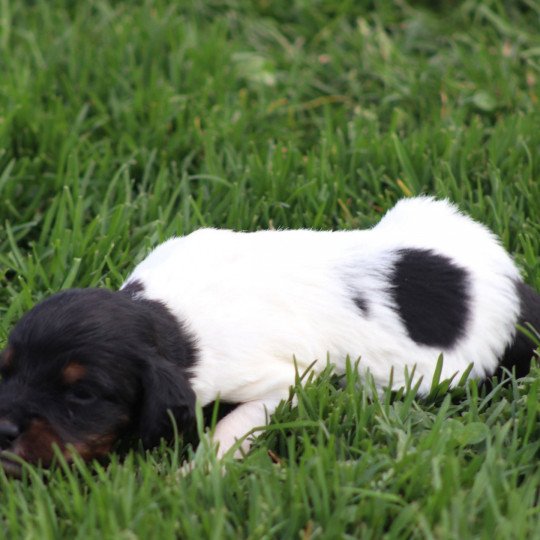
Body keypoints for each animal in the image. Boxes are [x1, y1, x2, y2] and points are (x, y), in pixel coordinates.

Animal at [0, 196, 536, 474]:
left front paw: (194, 474)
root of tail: (512, 281)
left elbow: (232, 425)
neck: (169, 321)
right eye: (6, 370)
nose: (3, 430)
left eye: (83, 394)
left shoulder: (284, 380)